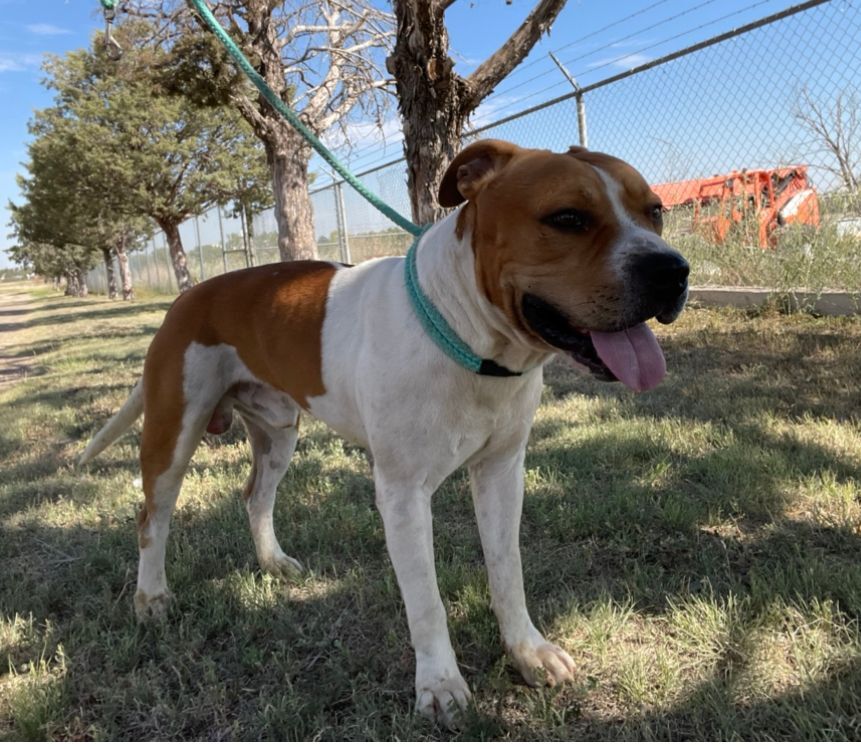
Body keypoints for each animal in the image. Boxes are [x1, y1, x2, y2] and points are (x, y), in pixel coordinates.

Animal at [79, 139, 684, 724]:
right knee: (151, 517)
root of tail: (188, 294)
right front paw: (439, 686)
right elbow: (427, 600)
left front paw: (527, 651)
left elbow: (507, 571)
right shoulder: (403, 494)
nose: (672, 270)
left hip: (279, 433)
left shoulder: (502, 473)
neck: (470, 339)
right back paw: (151, 598)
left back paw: (273, 563)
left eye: (655, 211)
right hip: (172, 432)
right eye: (567, 218)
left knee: (255, 496)